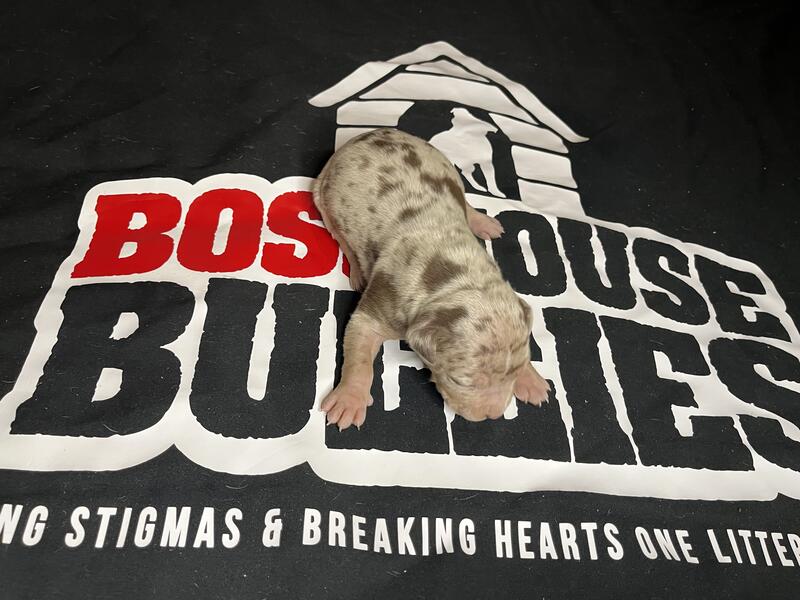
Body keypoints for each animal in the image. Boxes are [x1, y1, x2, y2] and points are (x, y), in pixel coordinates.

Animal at [313, 128, 550, 430]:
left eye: (516, 369)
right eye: (459, 380)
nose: (492, 415)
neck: (456, 277)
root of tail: (364, 135)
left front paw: (531, 379)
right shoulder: (382, 303)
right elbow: (359, 352)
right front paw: (349, 400)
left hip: (446, 166)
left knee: (464, 198)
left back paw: (482, 221)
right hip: (324, 199)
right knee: (340, 235)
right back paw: (356, 271)